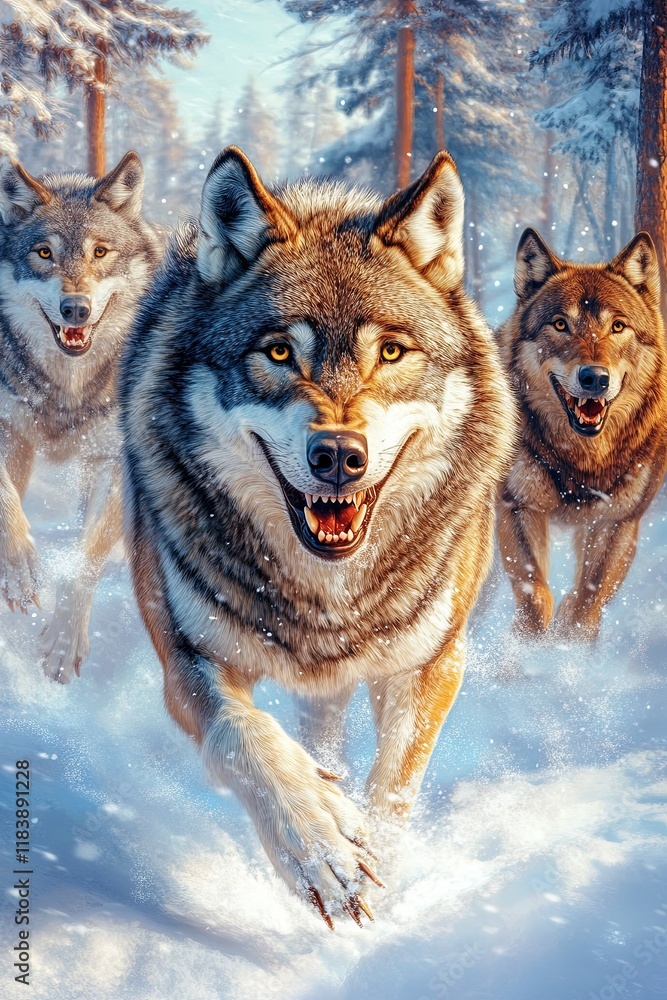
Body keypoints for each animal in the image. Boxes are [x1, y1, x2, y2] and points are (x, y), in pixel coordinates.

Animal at [0, 152, 163, 682]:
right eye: (44, 254)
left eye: (100, 252)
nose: (75, 309)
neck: (66, 391)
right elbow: (7, 504)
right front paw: (19, 573)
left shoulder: (114, 461)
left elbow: (85, 561)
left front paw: (62, 643)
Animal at [120, 147, 516, 927]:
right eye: (278, 353)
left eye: (390, 352)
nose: (337, 455)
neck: (326, 593)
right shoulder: (186, 657)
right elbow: (249, 742)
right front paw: (323, 846)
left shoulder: (430, 665)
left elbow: (392, 790)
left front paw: (377, 876)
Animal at [498, 228, 667, 640]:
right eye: (561, 324)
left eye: (618, 326)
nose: (594, 378)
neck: (582, 459)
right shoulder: (518, 507)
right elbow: (535, 596)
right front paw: (529, 651)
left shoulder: (618, 524)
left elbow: (585, 602)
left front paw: (567, 648)